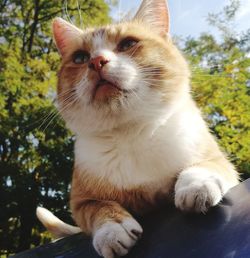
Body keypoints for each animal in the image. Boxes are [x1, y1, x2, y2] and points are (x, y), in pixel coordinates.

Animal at [36, 0, 238, 258]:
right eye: (80, 58)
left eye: (128, 44)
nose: (96, 61)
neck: (131, 132)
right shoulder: (81, 201)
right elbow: (99, 208)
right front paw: (113, 229)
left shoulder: (218, 160)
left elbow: (201, 167)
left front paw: (196, 187)